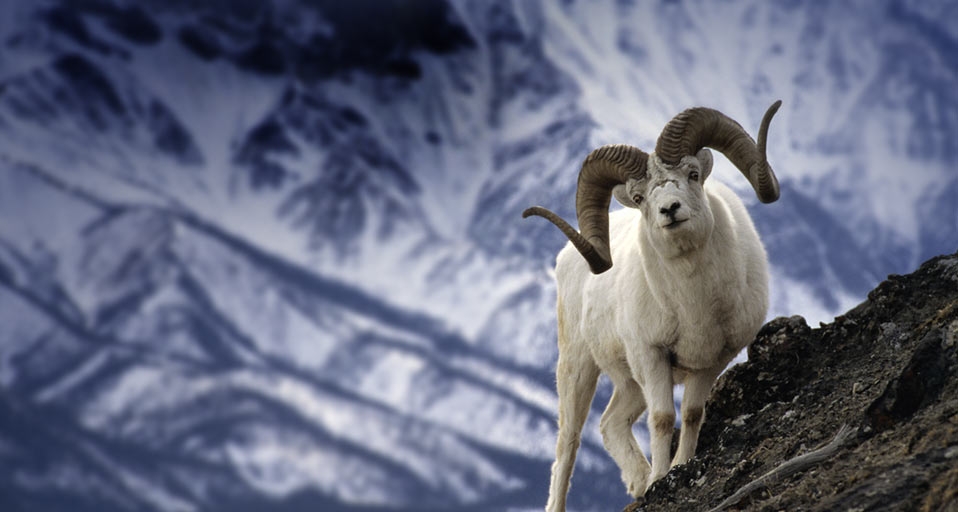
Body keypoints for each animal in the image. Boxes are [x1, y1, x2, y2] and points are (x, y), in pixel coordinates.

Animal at [522, 101, 782, 511]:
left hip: (629, 381)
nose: (670, 210)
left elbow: (691, 414)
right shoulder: (652, 355)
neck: (695, 305)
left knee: (610, 424)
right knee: (568, 444)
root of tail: (565, 257)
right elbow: (662, 419)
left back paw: (639, 481)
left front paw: (679, 467)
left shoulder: (711, 360)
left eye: (693, 174)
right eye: (640, 197)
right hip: (579, 367)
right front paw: (662, 478)